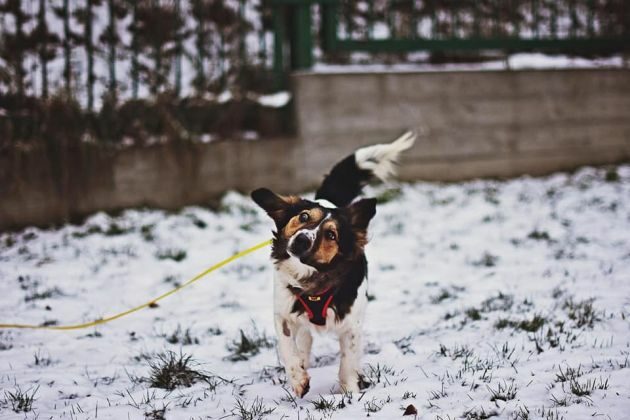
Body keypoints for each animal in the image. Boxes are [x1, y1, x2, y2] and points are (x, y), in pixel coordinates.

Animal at [249, 131, 418, 398]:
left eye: (331, 235)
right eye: (303, 217)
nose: (301, 240)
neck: (314, 277)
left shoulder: (351, 324)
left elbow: (348, 361)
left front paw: (350, 392)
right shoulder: (283, 313)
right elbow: (287, 348)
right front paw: (298, 378)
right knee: (303, 341)